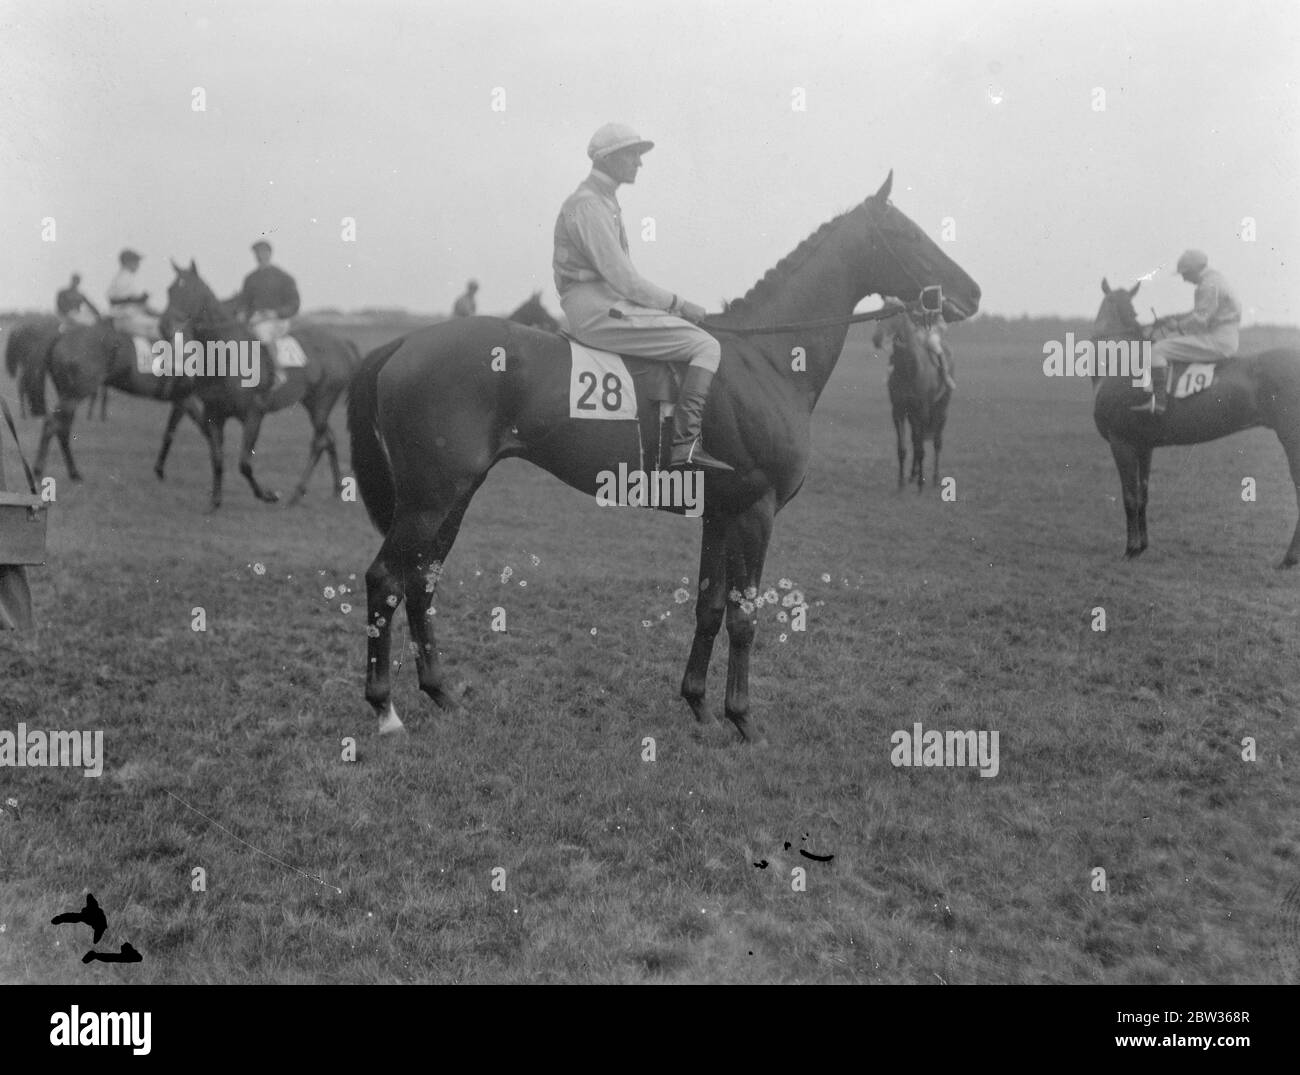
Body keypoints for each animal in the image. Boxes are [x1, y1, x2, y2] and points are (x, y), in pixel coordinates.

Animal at [162, 262, 369, 509]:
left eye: (190, 291)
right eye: (170, 290)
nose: (165, 326)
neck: (226, 356)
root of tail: (343, 343)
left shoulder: (253, 414)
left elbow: (244, 463)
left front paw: (269, 495)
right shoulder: (215, 415)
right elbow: (217, 459)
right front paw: (215, 502)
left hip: (322, 402)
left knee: (319, 441)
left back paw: (297, 493)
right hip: (311, 403)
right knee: (328, 438)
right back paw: (336, 488)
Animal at [873, 300, 956, 488]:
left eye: (894, 316)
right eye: (879, 313)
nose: (876, 339)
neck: (909, 369)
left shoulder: (922, 411)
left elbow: (921, 447)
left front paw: (920, 484)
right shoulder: (899, 411)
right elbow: (903, 448)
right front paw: (901, 483)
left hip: (941, 409)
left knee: (936, 442)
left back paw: (934, 478)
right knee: (915, 439)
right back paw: (912, 474)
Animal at [1097, 276, 1300, 566]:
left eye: (1132, 311)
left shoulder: (1121, 442)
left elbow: (1130, 496)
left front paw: (1130, 549)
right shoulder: (1143, 446)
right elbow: (1143, 494)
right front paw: (1142, 547)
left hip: (1291, 436)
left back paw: (1289, 558)